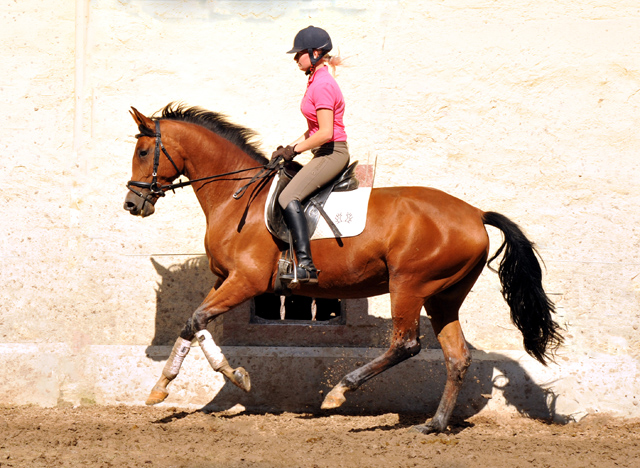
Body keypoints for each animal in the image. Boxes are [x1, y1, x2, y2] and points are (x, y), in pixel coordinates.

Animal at [124, 103, 560, 436]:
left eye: (144, 152)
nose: (132, 204)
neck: (237, 197)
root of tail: (474, 213)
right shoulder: (224, 279)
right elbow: (193, 324)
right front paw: (166, 387)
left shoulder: (246, 281)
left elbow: (196, 320)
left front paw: (220, 378)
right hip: (443, 296)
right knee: (457, 357)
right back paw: (434, 425)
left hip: (409, 284)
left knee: (405, 344)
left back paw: (339, 391)